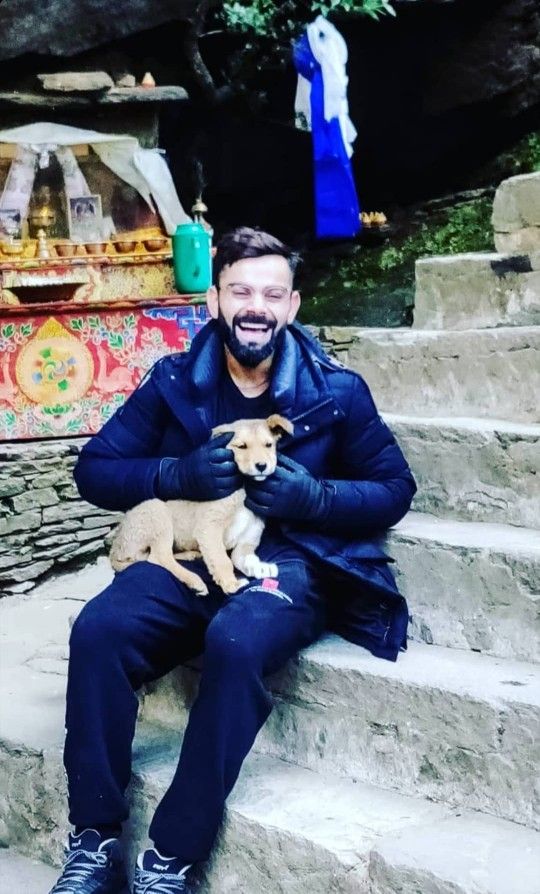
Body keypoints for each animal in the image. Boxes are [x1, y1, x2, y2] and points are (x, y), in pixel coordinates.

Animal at [109, 416, 294, 600]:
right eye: (242, 446)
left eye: (269, 445)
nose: (262, 466)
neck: (243, 490)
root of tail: (115, 548)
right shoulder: (209, 528)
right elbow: (222, 560)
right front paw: (231, 585)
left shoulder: (246, 540)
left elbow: (246, 559)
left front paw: (261, 568)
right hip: (157, 512)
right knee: (158, 557)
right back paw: (194, 581)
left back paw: (190, 555)